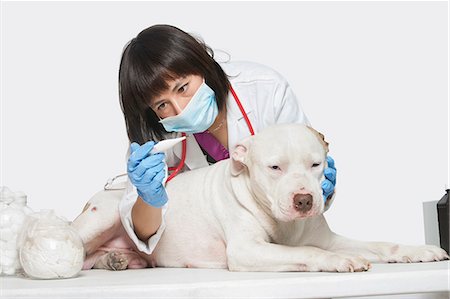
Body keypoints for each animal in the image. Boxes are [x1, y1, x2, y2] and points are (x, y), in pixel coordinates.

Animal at [72, 123, 448, 274]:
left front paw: (420, 250)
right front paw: (338, 261)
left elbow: (382, 245)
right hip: (103, 215)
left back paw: (116, 260)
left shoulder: (329, 238)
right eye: (275, 167)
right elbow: (305, 252)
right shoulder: (247, 250)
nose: (304, 200)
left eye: (316, 164)